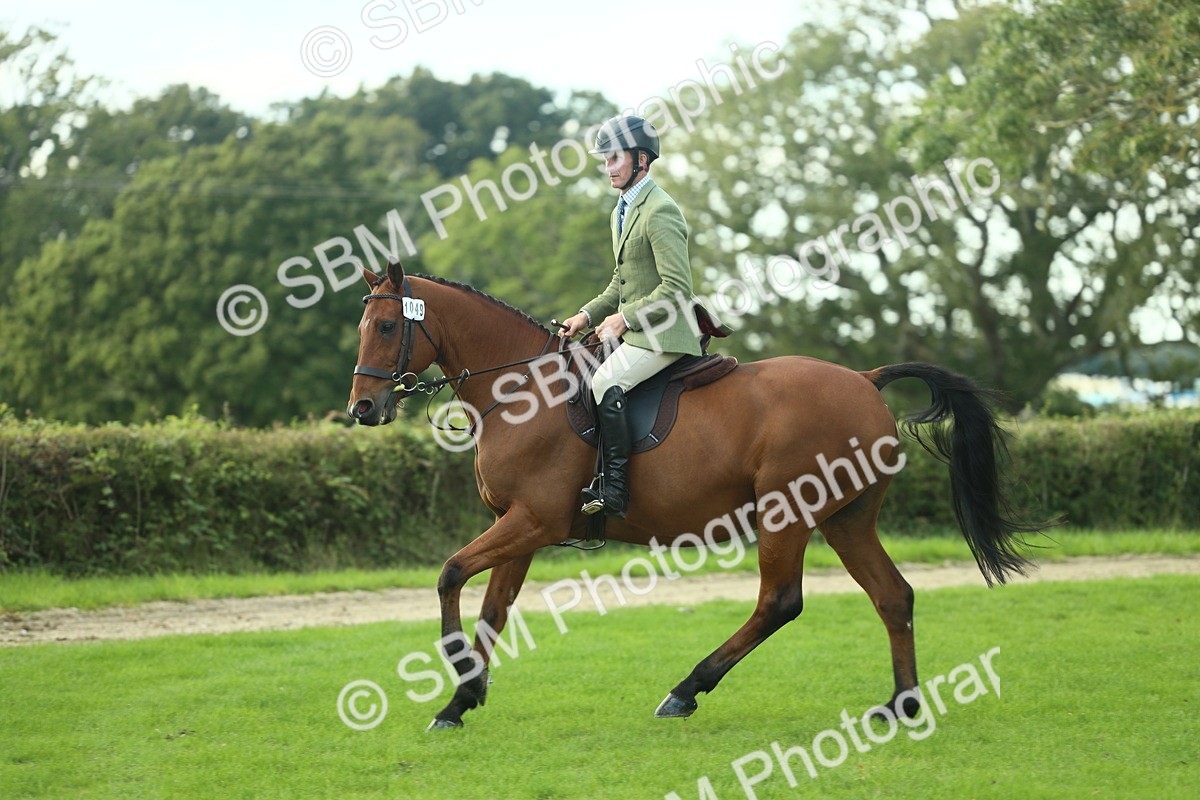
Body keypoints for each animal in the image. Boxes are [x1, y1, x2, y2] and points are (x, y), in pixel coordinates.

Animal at [347, 261, 1043, 730]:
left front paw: (459, 690)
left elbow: (449, 574)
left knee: (780, 602)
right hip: (847, 520)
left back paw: (686, 689)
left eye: (386, 325)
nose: (363, 409)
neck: (519, 389)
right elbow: (492, 611)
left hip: (787, 513)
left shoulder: (533, 522)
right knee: (893, 596)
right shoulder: (516, 526)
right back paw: (901, 706)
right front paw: (463, 699)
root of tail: (866, 380)